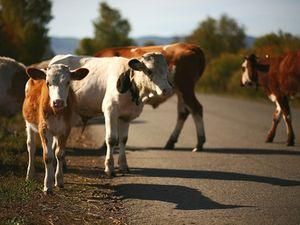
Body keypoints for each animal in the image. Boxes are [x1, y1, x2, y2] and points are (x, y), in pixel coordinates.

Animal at [22, 63, 88, 193]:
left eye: (68, 82)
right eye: (48, 83)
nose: (58, 102)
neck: (56, 112)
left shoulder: (65, 129)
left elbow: (59, 154)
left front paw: (59, 180)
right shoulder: (44, 129)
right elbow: (48, 156)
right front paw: (47, 186)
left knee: (53, 149)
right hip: (29, 124)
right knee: (31, 147)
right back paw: (30, 174)